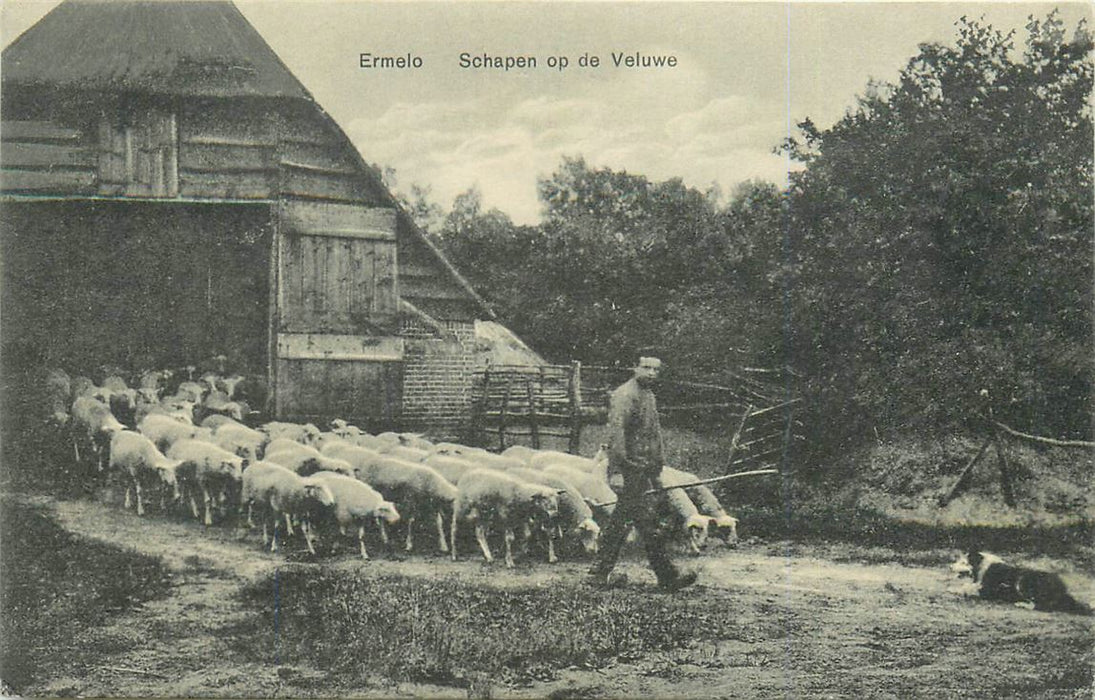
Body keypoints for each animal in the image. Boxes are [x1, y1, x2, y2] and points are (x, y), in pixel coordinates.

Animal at [950, 549, 1095, 617]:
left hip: (1022, 581)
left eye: (964, 563)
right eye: (958, 561)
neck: (981, 565)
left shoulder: (986, 588)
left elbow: (968, 586)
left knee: (1040, 606)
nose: (950, 567)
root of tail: (1061, 589)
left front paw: (953, 589)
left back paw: (1021, 604)